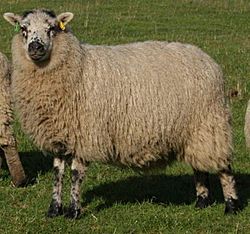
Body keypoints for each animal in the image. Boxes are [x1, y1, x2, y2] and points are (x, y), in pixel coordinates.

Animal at [2, 8, 240, 218]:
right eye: (23, 29)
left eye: (52, 28)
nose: (35, 47)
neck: (77, 65)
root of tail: (207, 59)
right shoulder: (59, 134)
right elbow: (57, 173)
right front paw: (53, 210)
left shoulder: (84, 134)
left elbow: (76, 174)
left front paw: (74, 212)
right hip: (195, 132)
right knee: (200, 166)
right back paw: (201, 202)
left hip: (211, 123)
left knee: (224, 168)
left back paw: (231, 206)